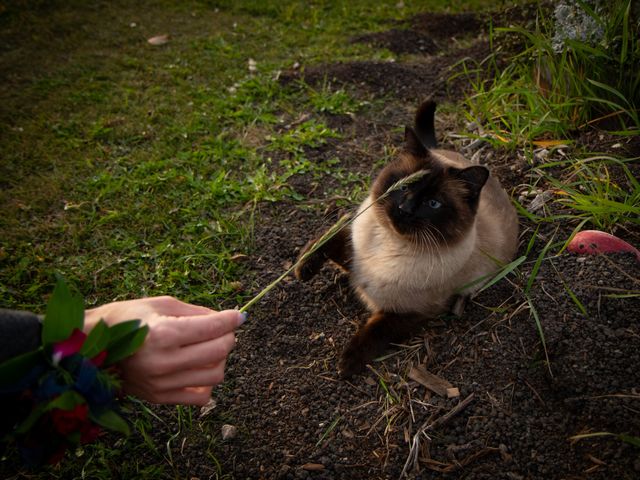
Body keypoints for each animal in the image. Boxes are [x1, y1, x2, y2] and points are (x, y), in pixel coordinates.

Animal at [296, 100, 520, 378]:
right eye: (403, 187)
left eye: (433, 204)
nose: (405, 209)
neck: (390, 243)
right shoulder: (353, 254)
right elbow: (328, 239)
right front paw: (303, 270)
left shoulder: (409, 313)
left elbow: (375, 333)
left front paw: (346, 364)